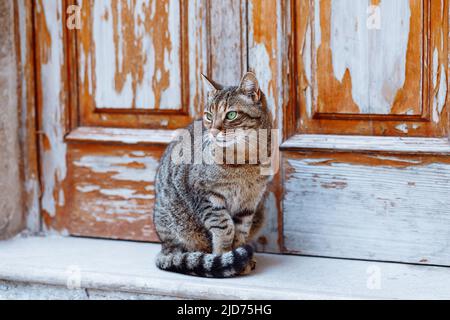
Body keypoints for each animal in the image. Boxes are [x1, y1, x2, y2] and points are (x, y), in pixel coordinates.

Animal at [155, 72, 272, 278]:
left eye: (231, 115)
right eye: (209, 116)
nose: (213, 130)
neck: (245, 160)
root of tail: (164, 246)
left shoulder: (249, 203)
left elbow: (240, 231)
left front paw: (239, 256)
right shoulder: (204, 195)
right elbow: (225, 228)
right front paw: (224, 255)